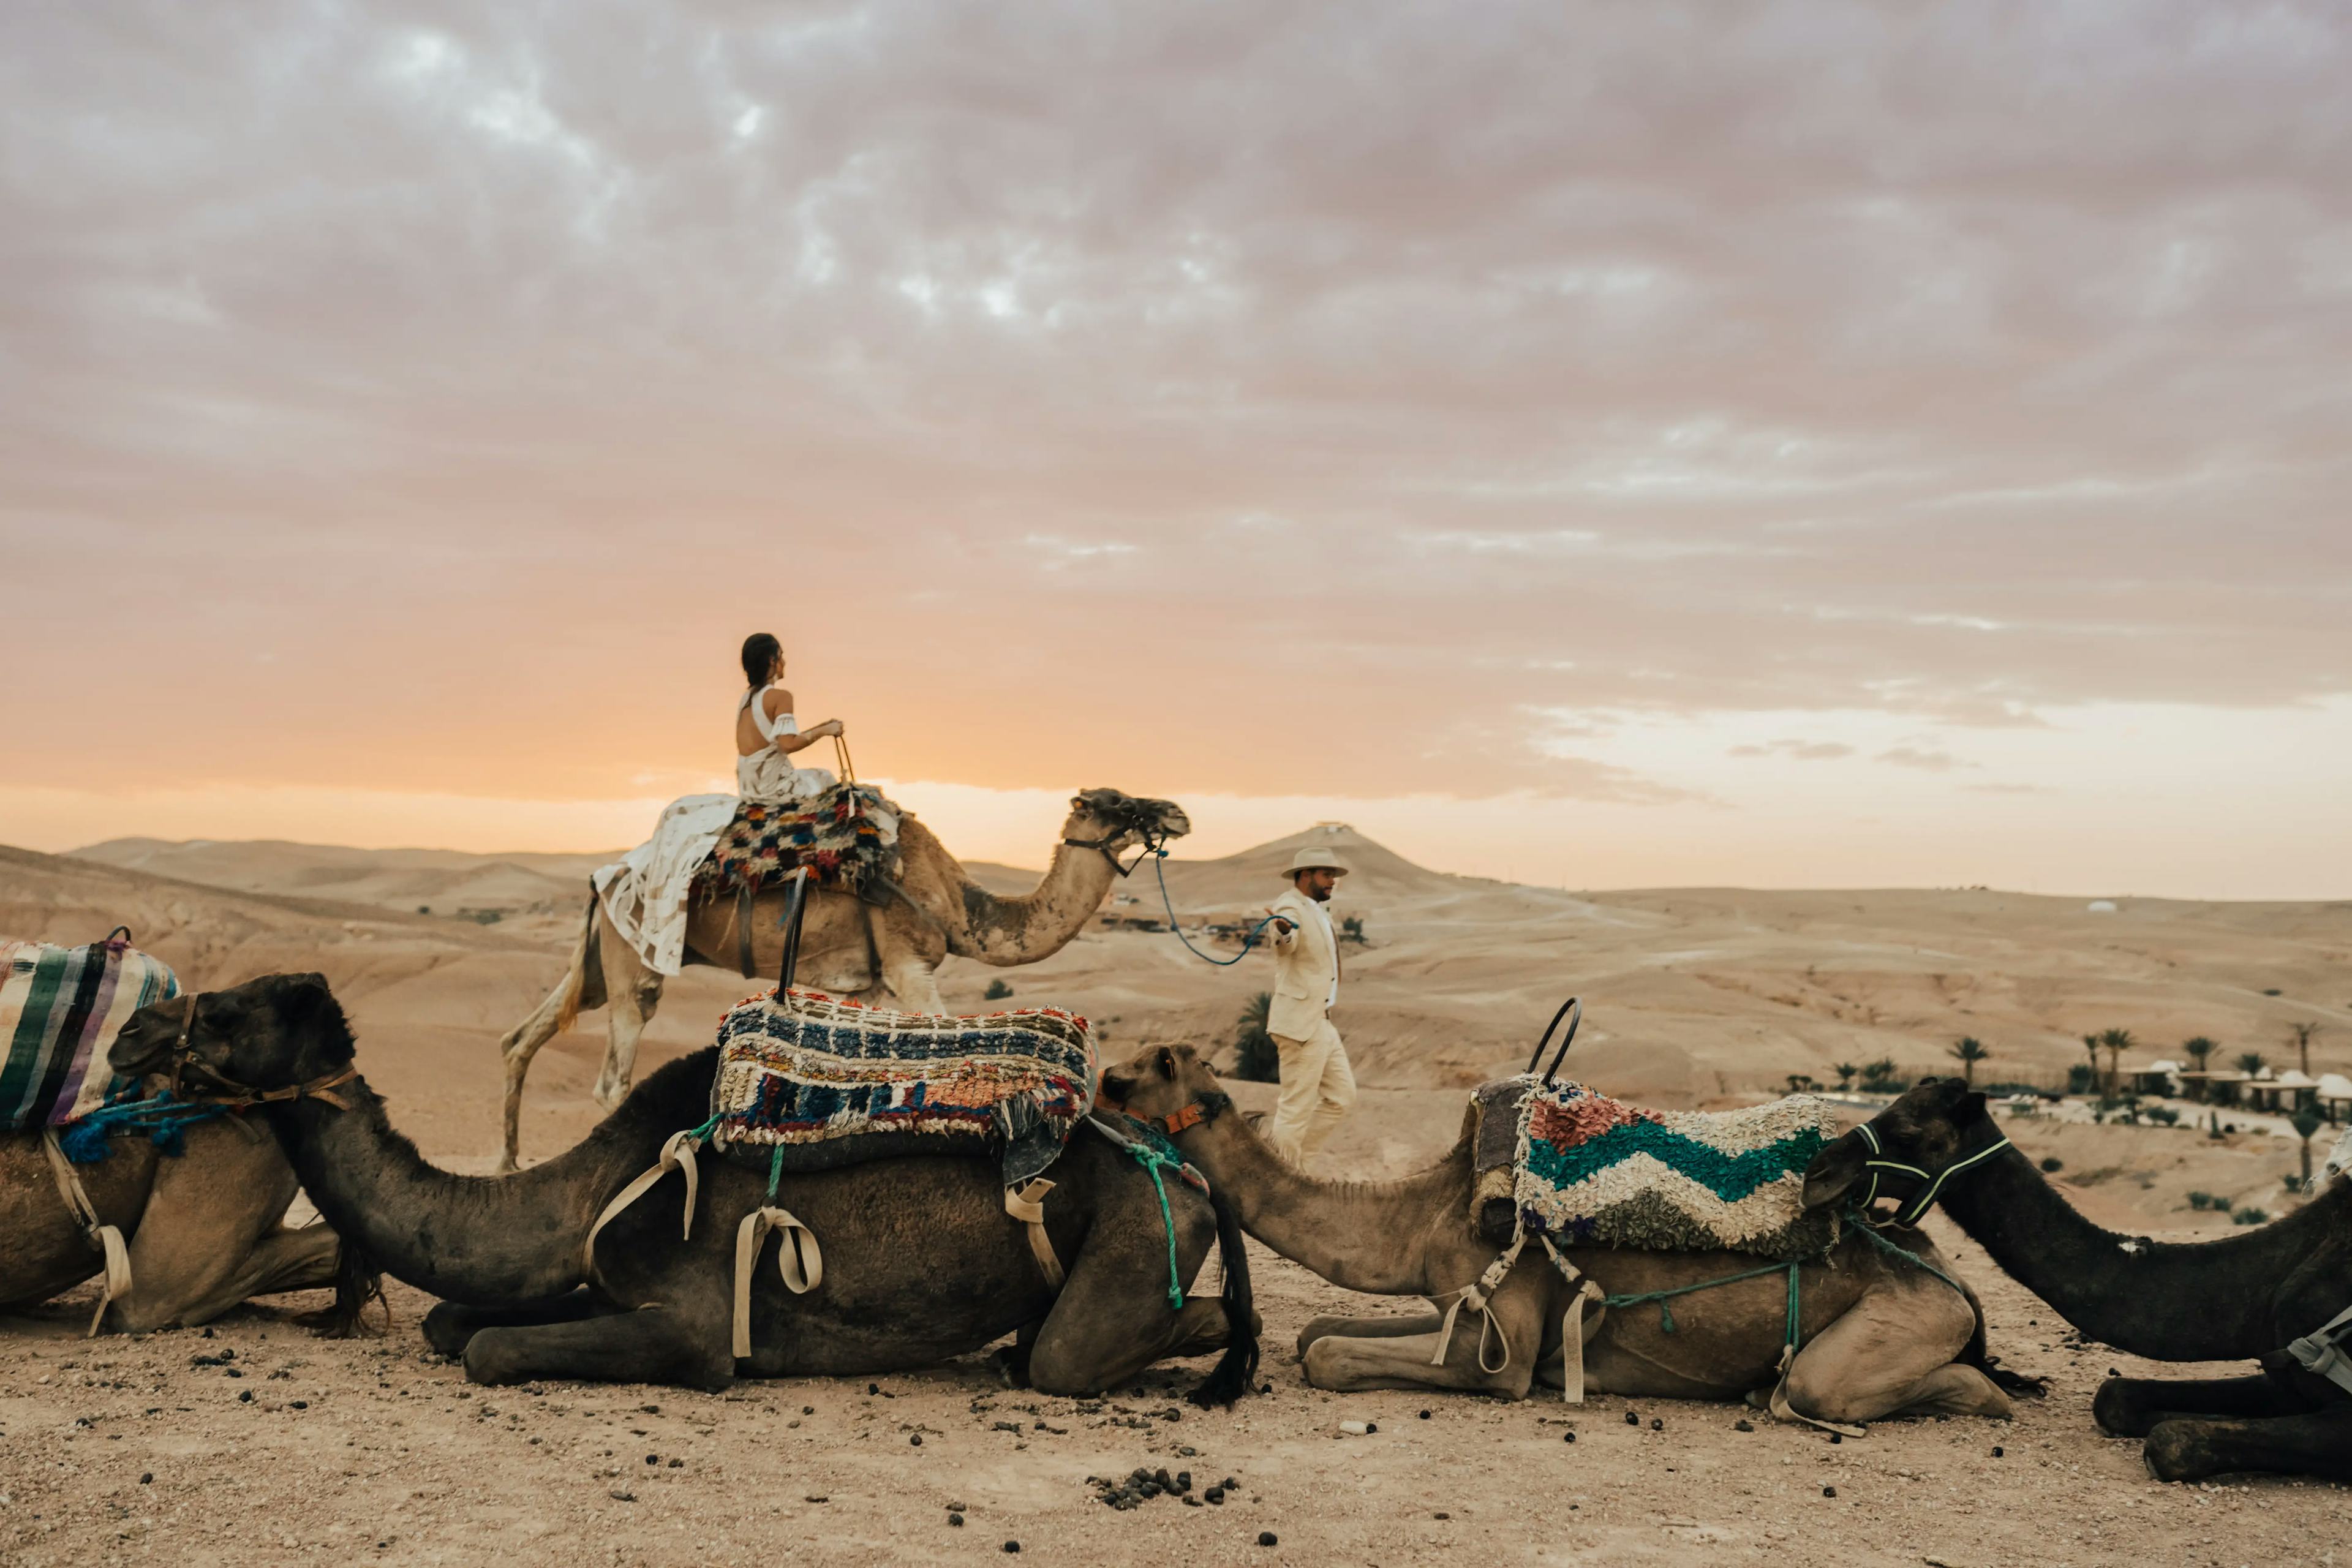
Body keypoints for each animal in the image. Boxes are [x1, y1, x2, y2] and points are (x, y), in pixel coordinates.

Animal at [500, 790, 1194, 1170]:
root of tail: (608, 874)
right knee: (613, 1075)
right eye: (1118, 803)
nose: (1179, 813)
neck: (957, 904)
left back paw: (507, 1161)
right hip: (639, 956)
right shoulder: (907, 962)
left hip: (601, 957)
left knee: (520, 1038)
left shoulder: (871, 984)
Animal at [1096, 1048, 2022, 1429]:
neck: (1428, 1209)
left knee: (1868, 1387)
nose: (1095, 1080)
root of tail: (1951, 1279)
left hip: (1908, 1320)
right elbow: (1318, 1330)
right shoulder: (1459, 1299)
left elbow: (1326, 1354)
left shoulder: (1501, 1341)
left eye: (1135, 1071)